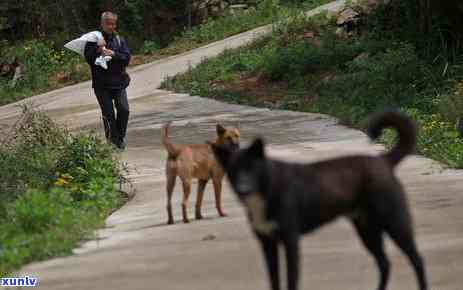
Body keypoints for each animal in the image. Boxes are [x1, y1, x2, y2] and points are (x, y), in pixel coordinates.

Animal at [212, 111, 430, 290]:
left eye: (252, 169)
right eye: (234, 171)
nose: (243, 189)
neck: (268, 187)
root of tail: (383, 161)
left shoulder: (290, 242)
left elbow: (291, 281)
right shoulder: (268, 244)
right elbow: (274, 282)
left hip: (394, 223)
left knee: (417, 260)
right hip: (367, 229)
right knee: (385, 263)